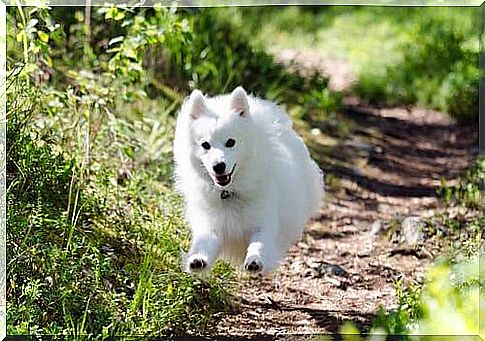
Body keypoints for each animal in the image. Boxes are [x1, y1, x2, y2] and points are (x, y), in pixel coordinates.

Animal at [172, 85, 324, 274]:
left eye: (231, 142)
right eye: (205, 145)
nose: (218, 166)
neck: (229, 192)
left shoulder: (263, 222)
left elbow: (259, 243)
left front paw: (254, 260)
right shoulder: (211, 225)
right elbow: (204, 244)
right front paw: (197, 260)